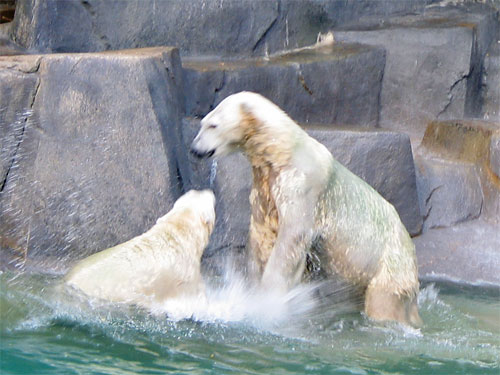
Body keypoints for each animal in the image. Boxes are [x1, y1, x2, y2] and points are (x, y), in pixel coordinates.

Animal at [191, 92, 422, 328]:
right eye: (202, 123)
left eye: (213, 125)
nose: (195, 149)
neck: (282, 150)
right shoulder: (264, 186)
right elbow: (262, 235)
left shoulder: (302, 184)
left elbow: (292, 236)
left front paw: (267, 300)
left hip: (390, 263)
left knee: (383, 300)